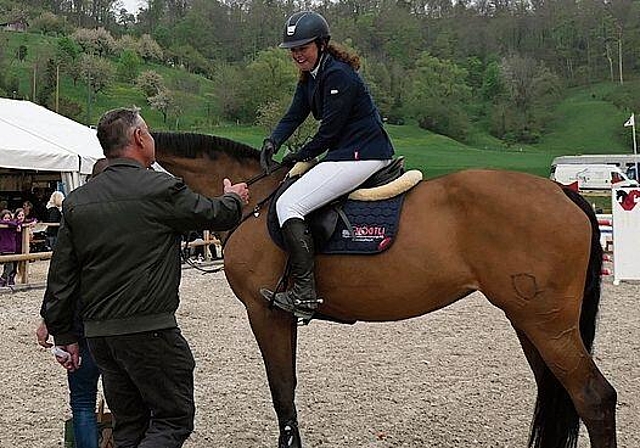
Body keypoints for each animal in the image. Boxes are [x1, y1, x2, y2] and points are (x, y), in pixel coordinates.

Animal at [152, 131, 616, 448]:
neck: (255, 201)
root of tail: (564, 193)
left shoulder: (264, 312)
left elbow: (281, 388)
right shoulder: (281, 316)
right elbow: (288, 386)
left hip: (548, 324)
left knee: (594, 398)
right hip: (530, 321)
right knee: (558, 391)